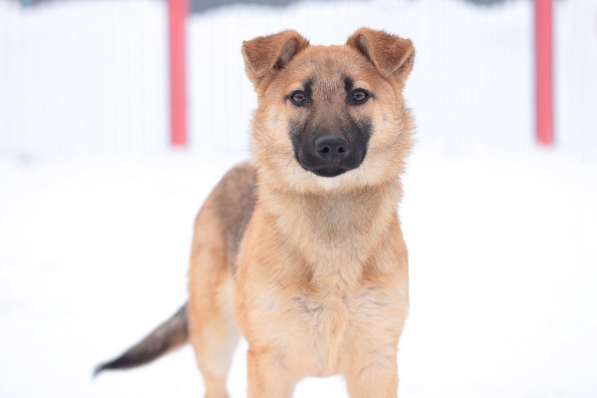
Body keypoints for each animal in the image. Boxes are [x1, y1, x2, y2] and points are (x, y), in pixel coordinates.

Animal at [96, 28, 414, 398]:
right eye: (299, 97)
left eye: (359, 95)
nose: (331, 145)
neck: (331, 214)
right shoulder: (269, 361)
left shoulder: (376, 362)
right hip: (214, 340)